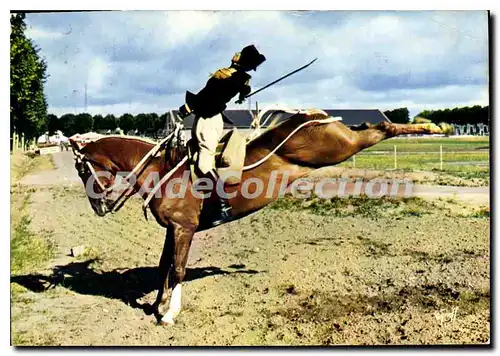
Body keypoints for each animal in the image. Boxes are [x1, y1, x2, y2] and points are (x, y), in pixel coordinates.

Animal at [67, 110, 454, 326]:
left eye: (84, 169)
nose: (98, 207)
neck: (164, 171)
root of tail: (307, 117)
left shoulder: (184, 229)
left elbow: (176, 269)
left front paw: (169, 314)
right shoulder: (172, 231)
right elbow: (164, 267)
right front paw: (157, 306)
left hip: (340, 147)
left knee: (380, 129)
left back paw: (438, 127)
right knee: (373, 127)